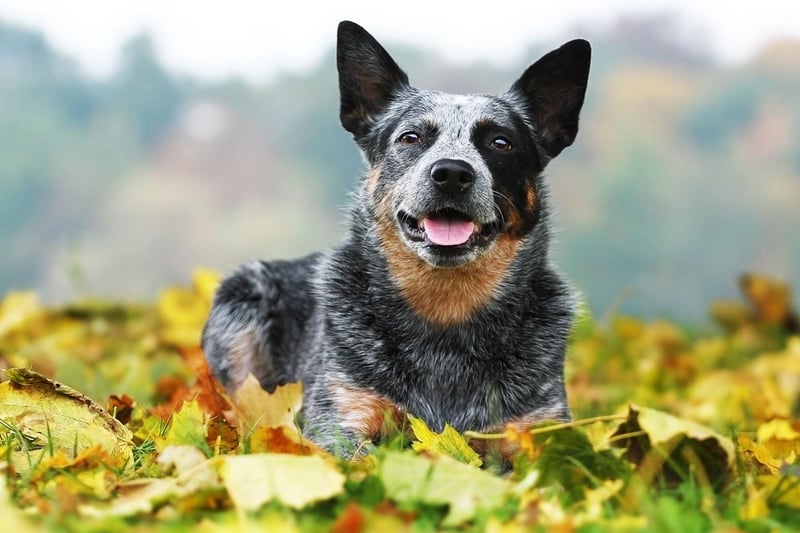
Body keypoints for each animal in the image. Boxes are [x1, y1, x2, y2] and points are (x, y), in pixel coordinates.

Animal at [203, 18, 592, 456]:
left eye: (501, 142)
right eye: (410, 137)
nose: (452, 172)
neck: (446, 315)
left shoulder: (539, 429)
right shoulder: (340, 419)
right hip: (241, 300)